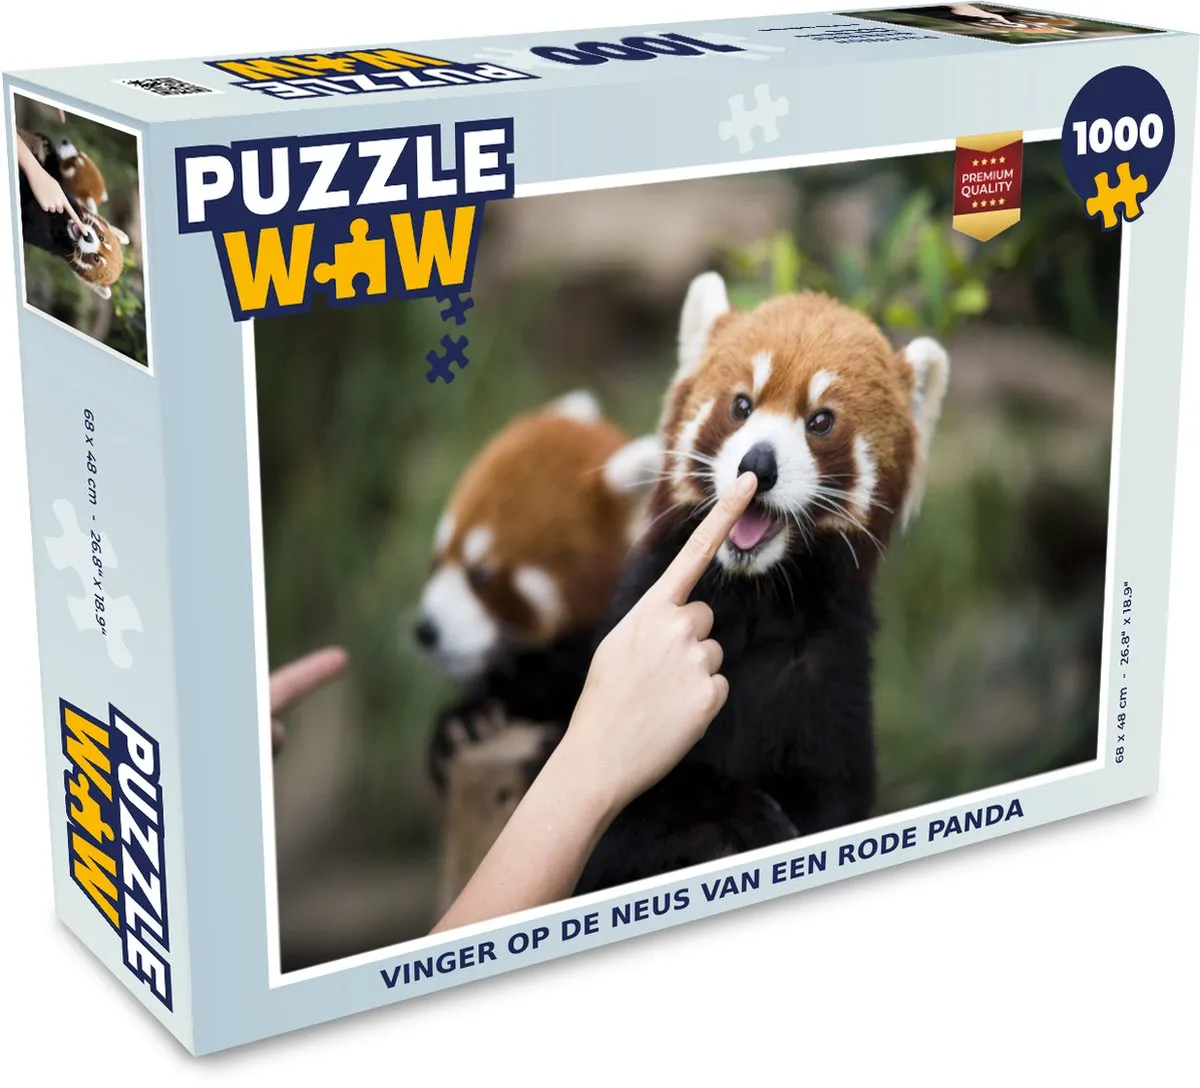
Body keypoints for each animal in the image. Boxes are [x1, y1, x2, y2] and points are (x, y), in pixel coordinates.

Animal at [576, 272, 949, 893]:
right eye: (741, 405)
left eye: (820, 420)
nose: (758, 464)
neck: (754, 594)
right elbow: (624, 825)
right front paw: (741, 818)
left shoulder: (831, 677)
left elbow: (830, 796)